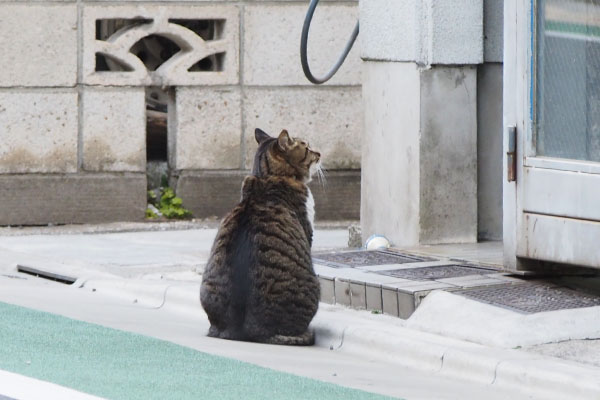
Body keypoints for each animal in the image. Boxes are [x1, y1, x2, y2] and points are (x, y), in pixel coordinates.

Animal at [200, 127, 324, 344]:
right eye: (307, 148)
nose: (319, 153)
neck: (265, 177)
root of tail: (245, 330)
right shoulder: (307, 230)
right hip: (314, 285)